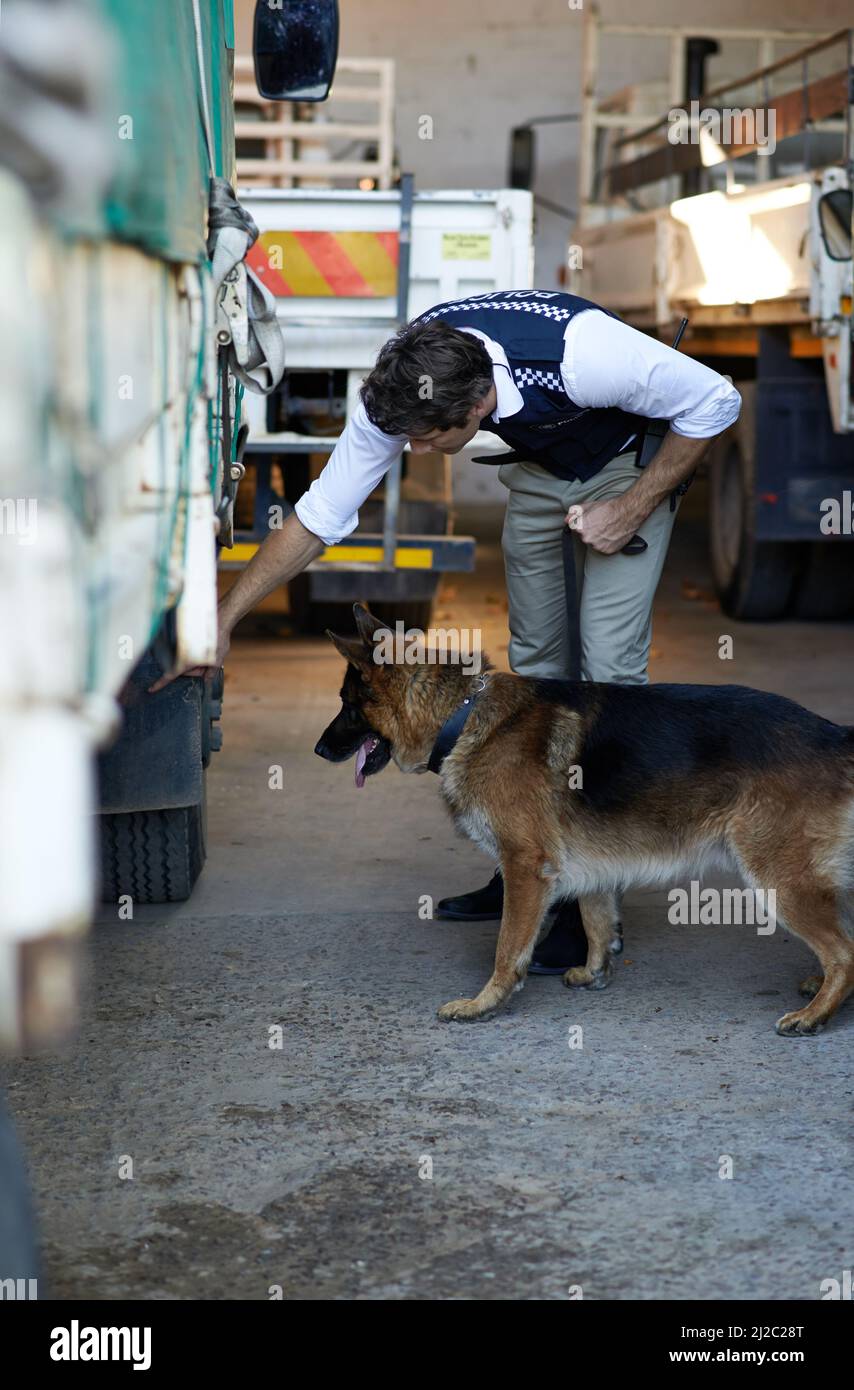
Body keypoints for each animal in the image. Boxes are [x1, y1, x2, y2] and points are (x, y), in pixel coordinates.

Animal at [315, 603, 854, 1039]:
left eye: (347, 705)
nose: (318, 750)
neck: (464, 716)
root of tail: (831, 732)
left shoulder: (524, 867)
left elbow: (508, 947)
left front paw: (484, 1004)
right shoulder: (594, 865)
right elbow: (597, 920)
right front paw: (595, 972)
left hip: (779, 879)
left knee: (844, 952)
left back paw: (816, 1013)